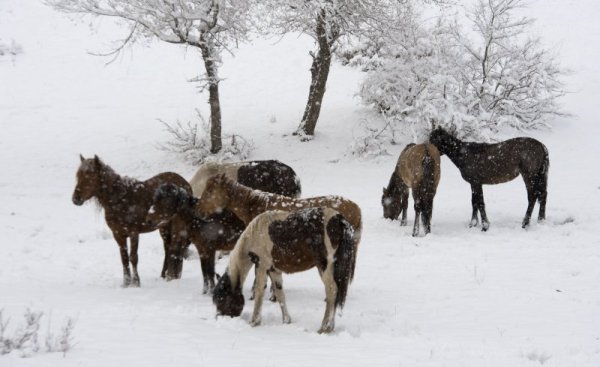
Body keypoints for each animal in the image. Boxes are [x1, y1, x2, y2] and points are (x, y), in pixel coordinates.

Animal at [70, 155, 193, 288]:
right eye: (78, 175)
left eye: (90, 175)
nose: (75, 199)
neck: (120, 200)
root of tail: (185, 184)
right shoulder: (118, 234)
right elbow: (124, 258)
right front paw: (126, 283)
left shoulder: (134, 233)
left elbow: (133, 257)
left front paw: (136, 283)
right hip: (164, 227)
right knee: (168, 249)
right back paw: (164, 275)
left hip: (177, 227)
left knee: (175, 249)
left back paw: (172, 276)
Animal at [213, 208, 358, 334]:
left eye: (222, 299)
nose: (219, 317)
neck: (254, 235)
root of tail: (338, 218)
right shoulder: (273, 270)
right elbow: (280, 294)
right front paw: (286, 320)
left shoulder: (262, 266)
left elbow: (259, 291)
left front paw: (254, 322)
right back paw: (330, 327)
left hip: (325, 266)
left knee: (332, 290)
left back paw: (324, 328)